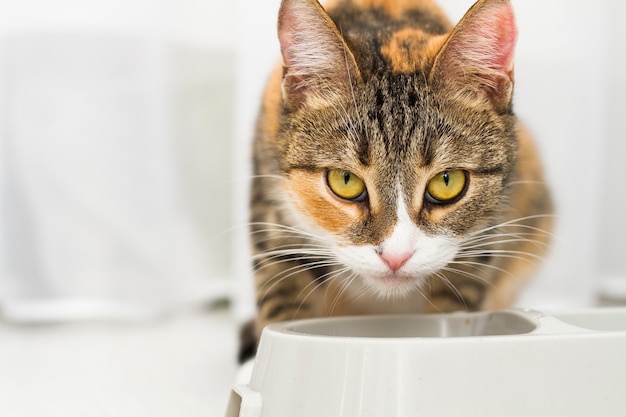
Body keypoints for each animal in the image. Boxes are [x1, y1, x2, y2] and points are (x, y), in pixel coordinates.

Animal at [239, 0, 552, 360]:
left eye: (448, 182)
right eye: (345, 180)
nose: (395, 257)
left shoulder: (482, 236)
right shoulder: (272, 206)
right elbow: (282, 285)